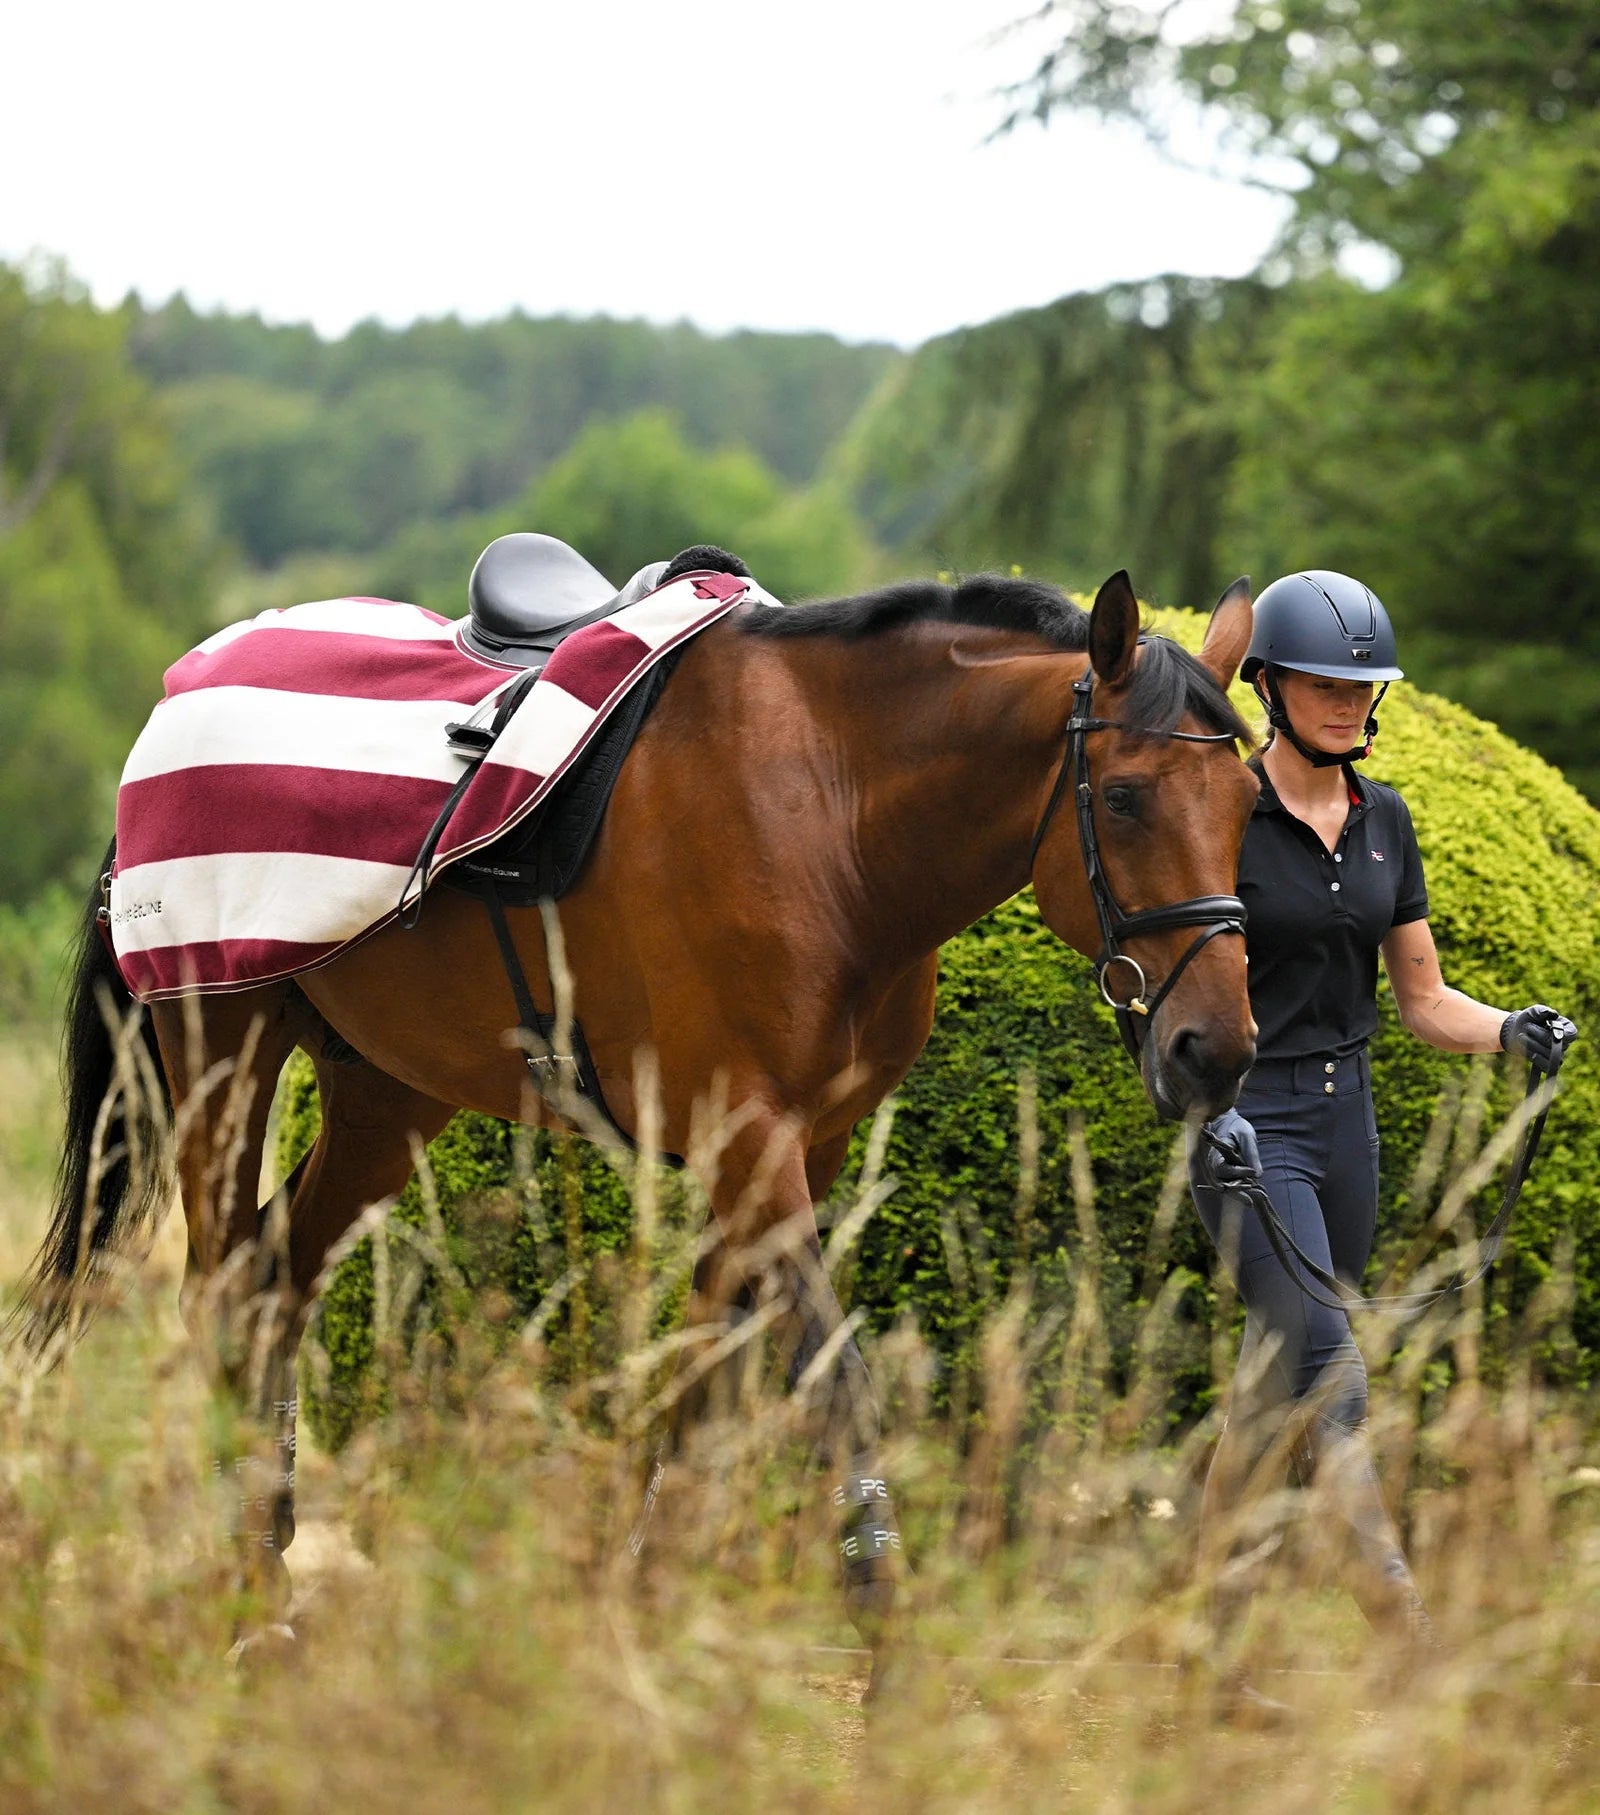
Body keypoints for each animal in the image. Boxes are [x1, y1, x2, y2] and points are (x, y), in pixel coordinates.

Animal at [10, 561, 1259, 1690]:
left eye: (1251, 806)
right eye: (1123, 798)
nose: (1217, 1048)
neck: (827, 806)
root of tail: (180, 700)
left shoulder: (788, 1150)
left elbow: (707, 1386)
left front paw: (643, 1611)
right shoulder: (752, 1140)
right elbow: (830, 1380)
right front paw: (884, 1623)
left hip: (383, 1096)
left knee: (275, 1283)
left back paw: (263, 1574)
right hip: (220, 1047)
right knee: (225, 1291)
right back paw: (238, 1598)